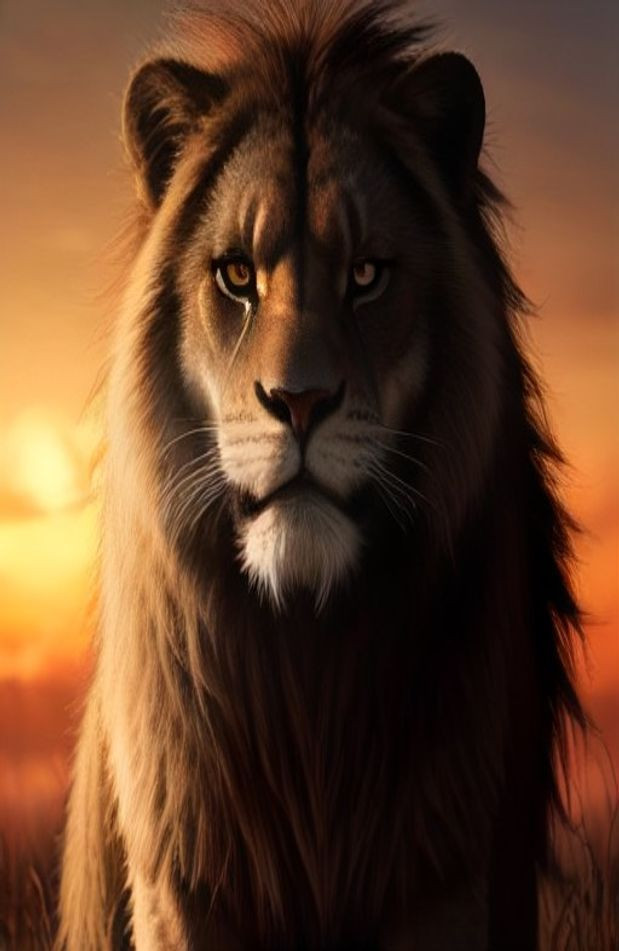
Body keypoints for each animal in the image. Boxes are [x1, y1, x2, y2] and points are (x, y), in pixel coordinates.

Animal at [58, 2, 585, 949]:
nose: (298, 401)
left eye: (366, 274)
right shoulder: (185, 877)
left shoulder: (444, 869)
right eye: (236, 274)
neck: (308, 663)